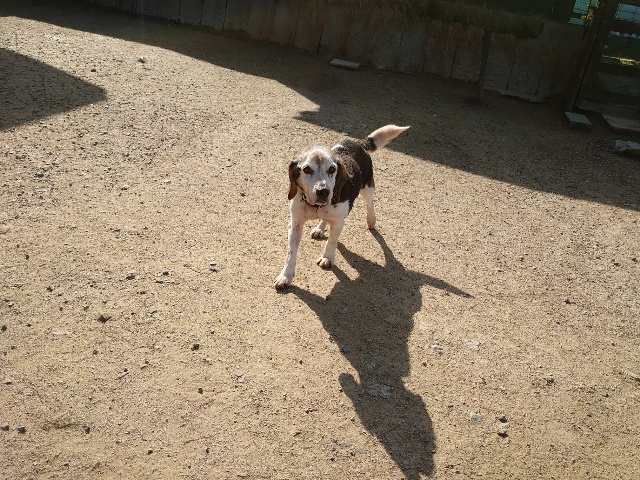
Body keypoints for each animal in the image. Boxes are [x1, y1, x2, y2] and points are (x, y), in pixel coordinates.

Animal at [274, 125, 409, 290]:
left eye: (332, 169)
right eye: (307, 169)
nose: (323, 191)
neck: (315, 206)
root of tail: (358, 143)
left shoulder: (339, 222)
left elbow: (332, 241)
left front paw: (327, 257)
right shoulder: (295, 224)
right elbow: (291, 253)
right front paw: (285, 276)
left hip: (367, 188)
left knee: (370, 204)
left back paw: (371, 220)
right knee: (326, 219)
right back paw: (320, 228)